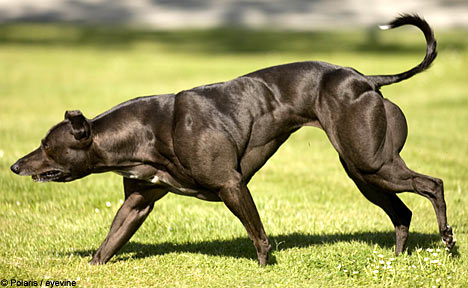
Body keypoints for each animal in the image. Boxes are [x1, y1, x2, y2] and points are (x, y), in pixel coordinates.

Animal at [10, 14, 454, 266]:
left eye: (47, 146)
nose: (14, 165)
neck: (144, 131)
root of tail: (366, 79)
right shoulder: (137, 202)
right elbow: (107, 244)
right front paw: (91, 267)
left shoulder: (231, 185)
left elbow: (259, 236)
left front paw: (264, 269)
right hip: (364, 172)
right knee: (402, 212)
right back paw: (397, 260)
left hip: (372, 163)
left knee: (433, 184)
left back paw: (449, 243)